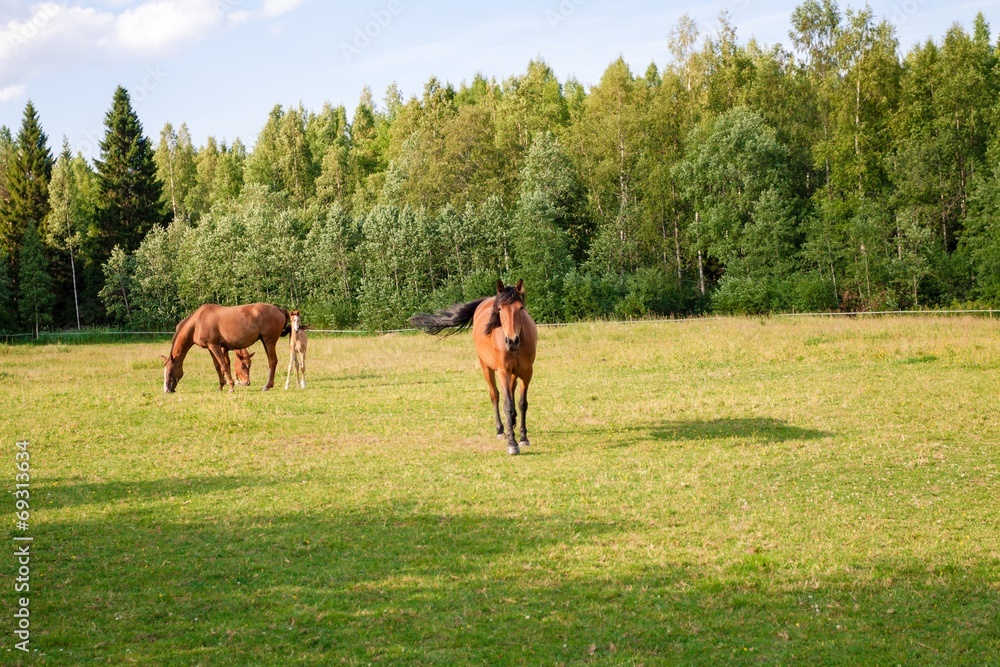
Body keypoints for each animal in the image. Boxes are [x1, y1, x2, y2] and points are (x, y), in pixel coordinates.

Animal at [161, 303, 290, 393]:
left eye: (170, 371)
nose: (167, 390)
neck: (198, 322)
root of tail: (278, 309)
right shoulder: (211, 348)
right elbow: (218, 366)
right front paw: (221, 386)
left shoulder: (215, 346)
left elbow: (223, 365)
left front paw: (231, 387)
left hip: (269, 341)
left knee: (272, 361)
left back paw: (267, 386)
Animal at [410, 279, 537, 455]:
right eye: (500, 309)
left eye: (521, 308)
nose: (511, 341)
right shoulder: (503, 372)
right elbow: (508, 405)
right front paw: (512, 443)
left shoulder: (527, 372)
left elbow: (522, 403)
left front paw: (524, 438)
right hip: (486, 367)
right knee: (495, 396)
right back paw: (500, 429)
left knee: (510, 391)